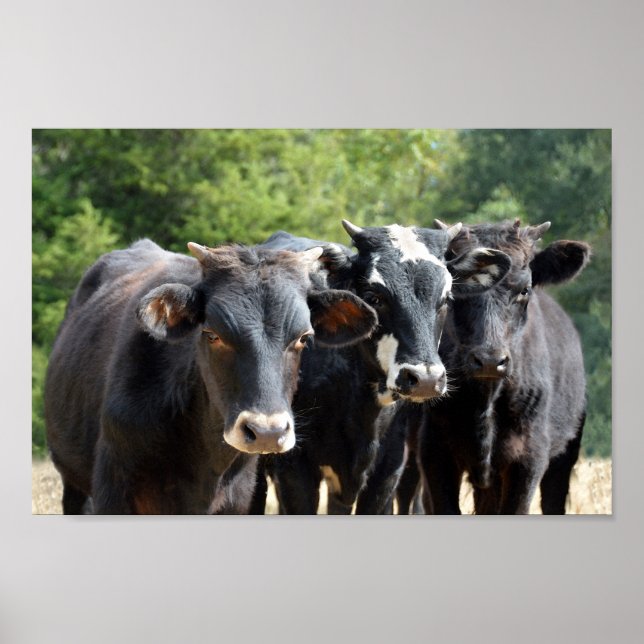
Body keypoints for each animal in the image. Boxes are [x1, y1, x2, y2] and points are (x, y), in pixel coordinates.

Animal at [417, 219, 590, 514]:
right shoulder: (434, 452)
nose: (489, 360)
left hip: (564, 455)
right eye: (454, 290)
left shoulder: (529, 458)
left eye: (524, 290)